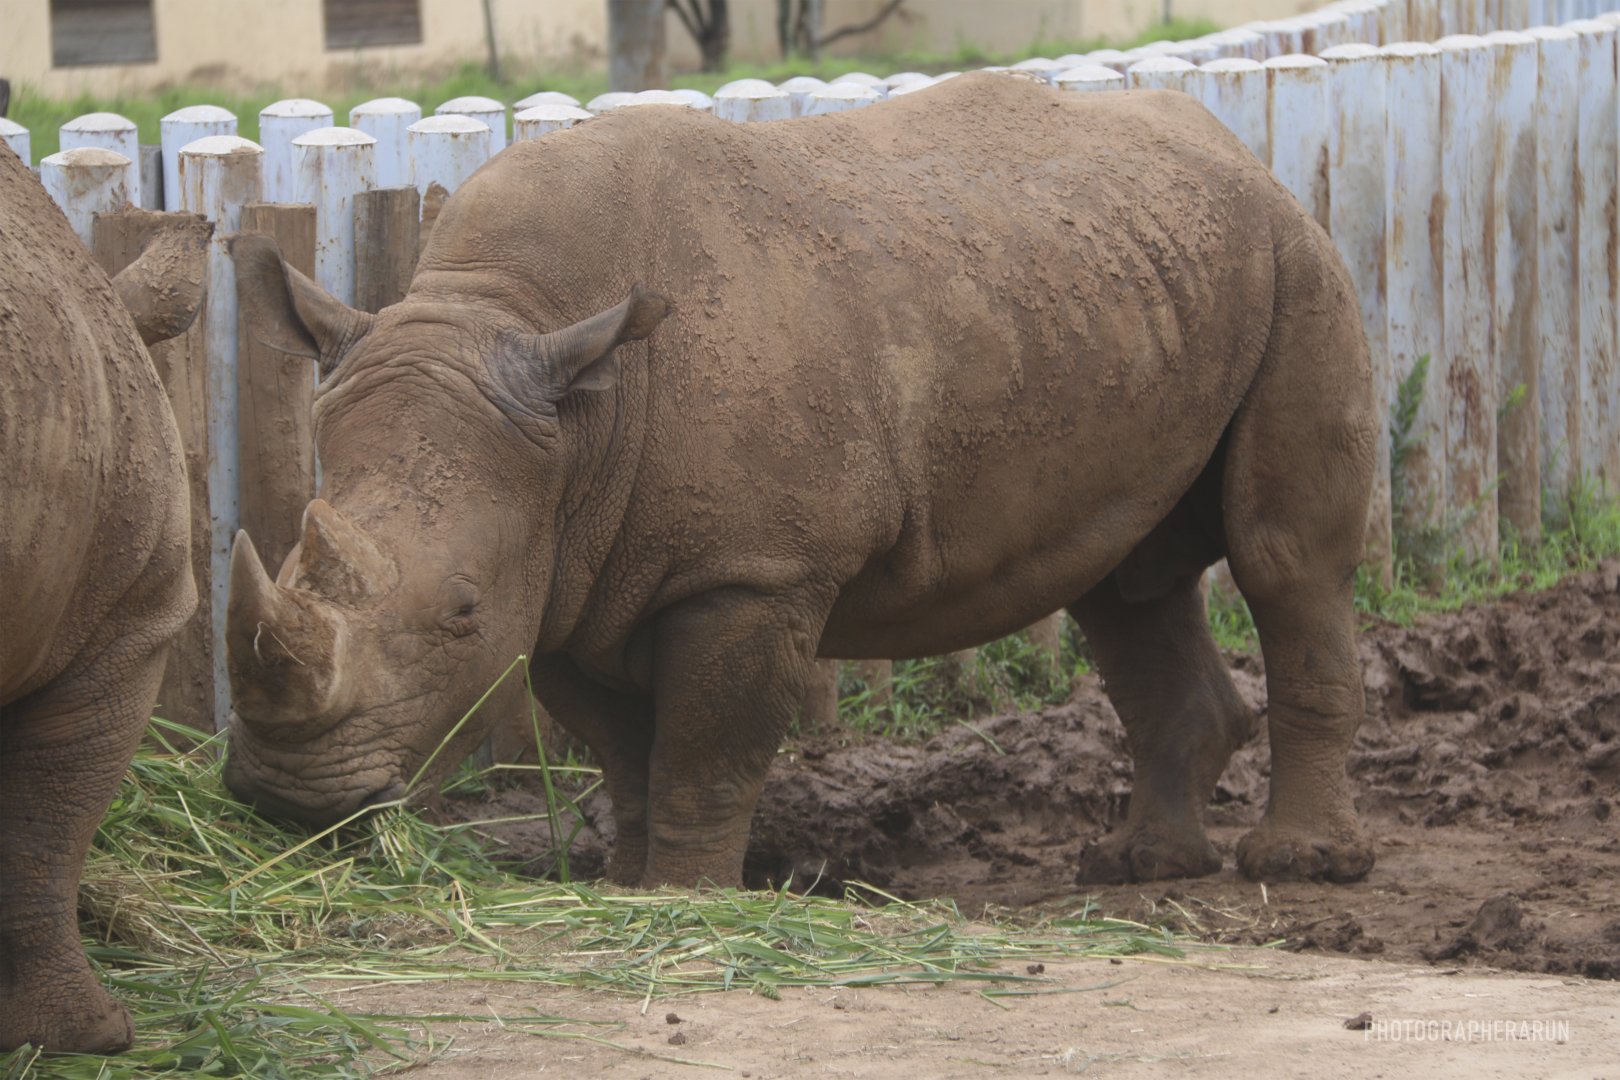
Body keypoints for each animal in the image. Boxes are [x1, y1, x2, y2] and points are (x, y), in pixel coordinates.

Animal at [224, 74, 1377, 891]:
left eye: (459, 613)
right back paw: (1140, 868)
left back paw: (1301, 868)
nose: (290, 802)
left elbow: (706, 754)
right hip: (1137, 285)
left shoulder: (755, 571)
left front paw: (691, 899)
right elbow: (627, 756)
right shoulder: (569, 576)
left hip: (1299, 263)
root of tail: (1236, 152)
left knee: (1285, 561)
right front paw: (626, 888)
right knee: (1125, 584)